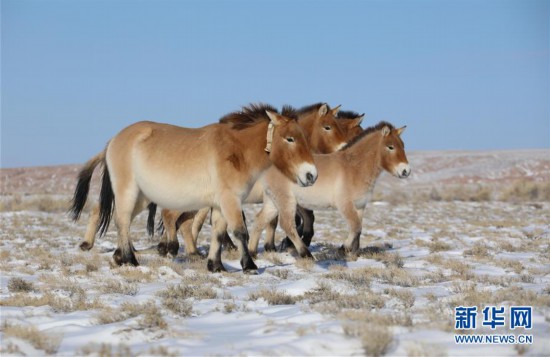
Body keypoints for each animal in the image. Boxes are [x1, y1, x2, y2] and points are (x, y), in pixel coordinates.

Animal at [69, 103, 320, 272]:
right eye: (289, 139)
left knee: (124, 220)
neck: (236, 150)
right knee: (121, 221)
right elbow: (240, 231)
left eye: (304, 137)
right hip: (127, 191)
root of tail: (113, 140)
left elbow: (219, 232)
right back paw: (130, 259)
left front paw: (215, 265)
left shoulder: (219, 204)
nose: (311, 175)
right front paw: (249, 265)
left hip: (142, 196)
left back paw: (119, 257)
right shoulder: (230, 199)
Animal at [160, 105, 366, 256]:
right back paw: (173, 248)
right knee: (174, 217)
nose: (345, 151)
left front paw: (273, 245)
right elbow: (298, 219)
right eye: (328, 127)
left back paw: (192, 251)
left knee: (189, 222)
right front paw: (284, 244)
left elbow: (278, 220)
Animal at [248, 121, 412, 258]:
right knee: (287, 225)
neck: (354, 168)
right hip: (286, 201)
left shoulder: (360, 206)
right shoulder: (345, 205)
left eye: (403, 146)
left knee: (259, 221)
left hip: (273, 202)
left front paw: (354, 252)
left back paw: (252, 253)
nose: (406, 171)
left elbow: (359, 229)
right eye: (390, 147)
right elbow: (355, 227)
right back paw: (306, 254)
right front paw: (343, 249)